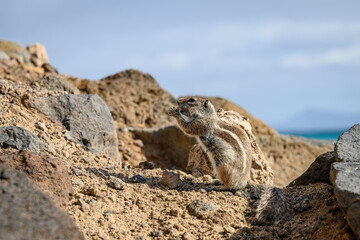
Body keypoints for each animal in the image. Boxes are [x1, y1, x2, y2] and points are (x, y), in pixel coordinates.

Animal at [169, 96, 290, 224]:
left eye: (192, 100)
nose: (177, 101)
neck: (209, 116)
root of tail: (246, 180)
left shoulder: (201, 124)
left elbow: (187, 128)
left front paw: (175, 112)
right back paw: (216, 181)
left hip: (223, 167)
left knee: (231, 186)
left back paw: (217, 187)